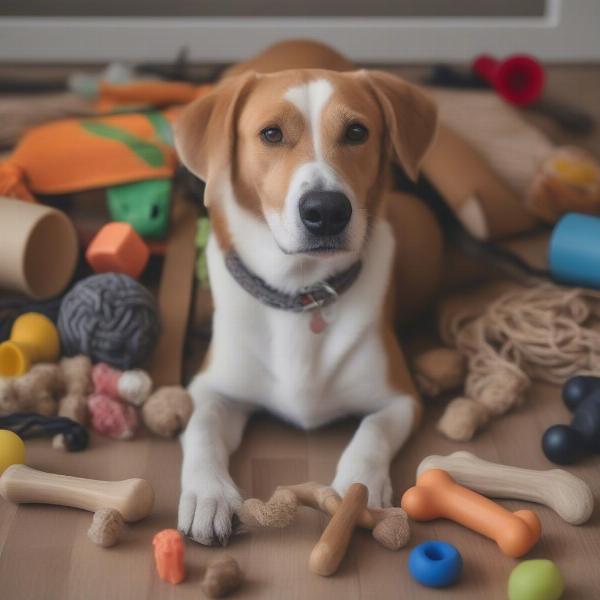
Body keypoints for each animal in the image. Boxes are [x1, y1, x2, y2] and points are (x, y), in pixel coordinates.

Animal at [172, 37, 440, 544]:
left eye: (356, 131)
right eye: (271, 134)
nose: (326, 210)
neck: (301, 293)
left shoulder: (399, 398)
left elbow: (370, 433)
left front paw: (359, 488)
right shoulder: (213, 387)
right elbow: (200, 428)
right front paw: (208, 493)